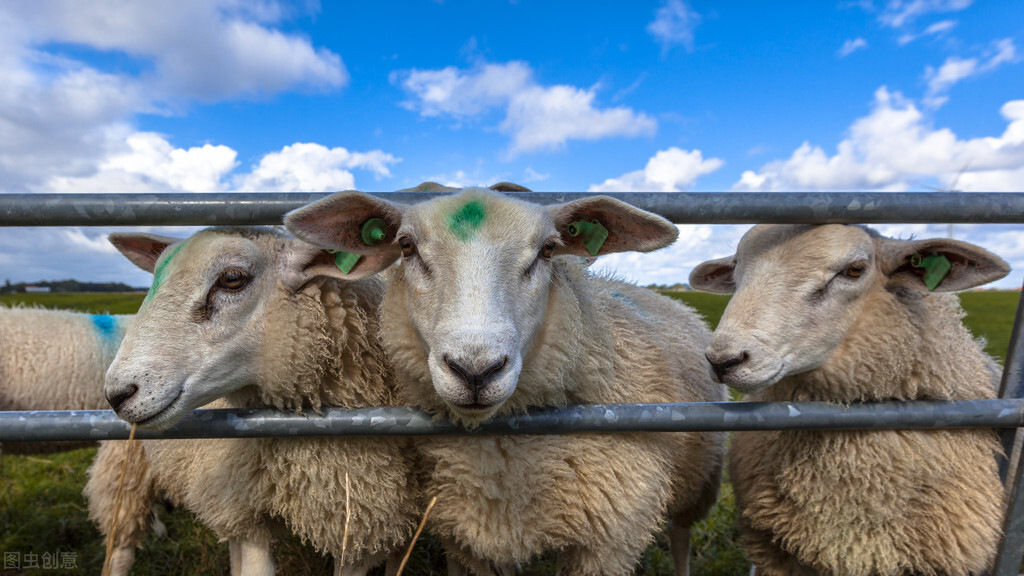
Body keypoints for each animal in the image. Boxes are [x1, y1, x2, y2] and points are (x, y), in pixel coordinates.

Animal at [86, 226, 417, 573]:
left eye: (233, 278)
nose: (118, 394)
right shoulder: (246, 514)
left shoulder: (361, 525)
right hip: (128, 466)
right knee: (121, 547)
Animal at [284, 186, 724, 573]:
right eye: (406, 247)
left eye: (548, 249)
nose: (476, 370)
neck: (501, 453)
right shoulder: (476, 537)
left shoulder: (611, 541)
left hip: (697, 484)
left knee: (681, 538)